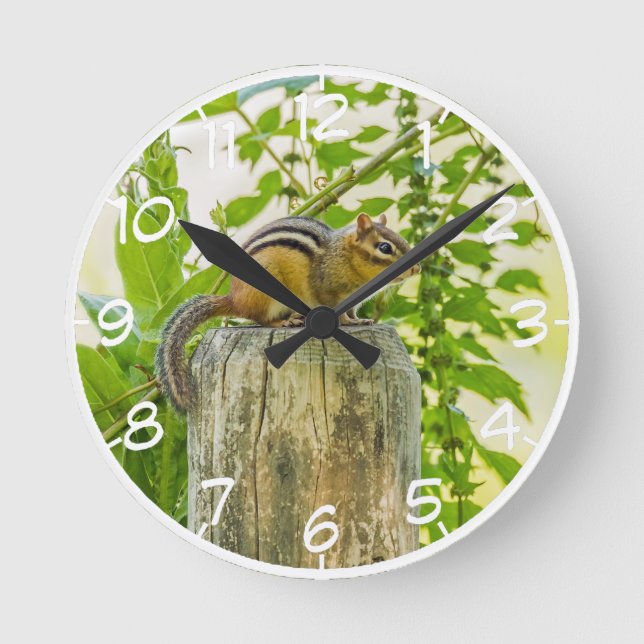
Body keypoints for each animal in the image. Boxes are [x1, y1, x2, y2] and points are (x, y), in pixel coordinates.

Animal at [155, 213, 419, 411]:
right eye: (385, 247)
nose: (416, 269)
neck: (345, 256)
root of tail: (234, 299)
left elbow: (352, 312)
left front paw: (361, 320)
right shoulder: (328, 291)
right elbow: (339, 313)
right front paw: (349, 323)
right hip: (267, 295)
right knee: (261, 319)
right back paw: (285, 322)